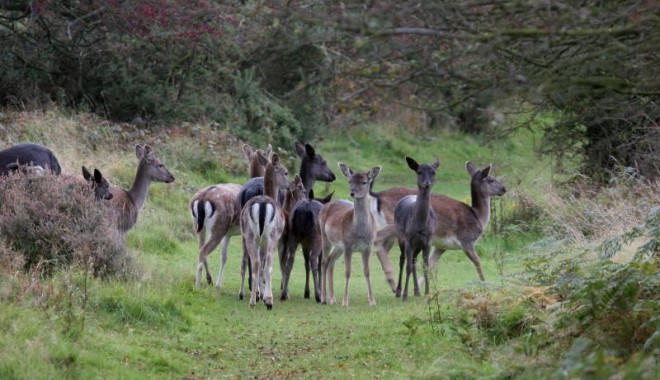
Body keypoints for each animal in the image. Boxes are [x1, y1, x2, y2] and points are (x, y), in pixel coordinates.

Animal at [188, 142, 270, 288]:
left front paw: (218, 284)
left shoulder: (228, 233)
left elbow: (224, 256)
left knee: (200, 248)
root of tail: (202, 199)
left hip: (197, 225)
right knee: (203, 250)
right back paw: (198, 284)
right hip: (219, 226)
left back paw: (209, 279)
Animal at [238, 151, 288, 308]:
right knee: (267, 264)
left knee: (252, 262)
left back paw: (250, 300)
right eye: (286, 172)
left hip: (249, 236)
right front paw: (265, 296)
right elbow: (265, 265)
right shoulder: (271, 239)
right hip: (271, 236)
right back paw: (268, 301)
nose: (290, 184)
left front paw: (259, 294)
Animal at [320, 163, 382, 306]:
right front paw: (345, 301)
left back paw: (332, 298)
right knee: (324, 262)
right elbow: (348, 272)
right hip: (324, 236)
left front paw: (372, 301)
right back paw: (323, 298)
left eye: (364, 182)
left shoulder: (368, 246)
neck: (360, 233)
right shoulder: (348, 246)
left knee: (331, 261)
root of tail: (325, 206)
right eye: (349, 181)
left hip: (338, 247)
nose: (352, 192)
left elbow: (367, 271)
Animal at [372, 160, 506, 282]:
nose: (504, 189)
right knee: (377, 238)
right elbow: (478, 262)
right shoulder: (466, 239)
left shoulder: (442, 246)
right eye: (491, 179)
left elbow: (430, 265)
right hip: (395, 225)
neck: (477, 217)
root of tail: (377, 196)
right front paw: (485, 285)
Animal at [392, 157, 438, 300]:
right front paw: (405, 295)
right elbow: (407, 266)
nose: (427, 183)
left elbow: (425, 266)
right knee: (403, 260)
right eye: (419, 171)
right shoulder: (408, 240)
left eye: (433, 172)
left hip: (417, 245)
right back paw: (398, 291)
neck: (420, 226)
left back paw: (417, 291)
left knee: (413, 261)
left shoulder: (428, 241)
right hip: (400, 237)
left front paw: (427, 293)